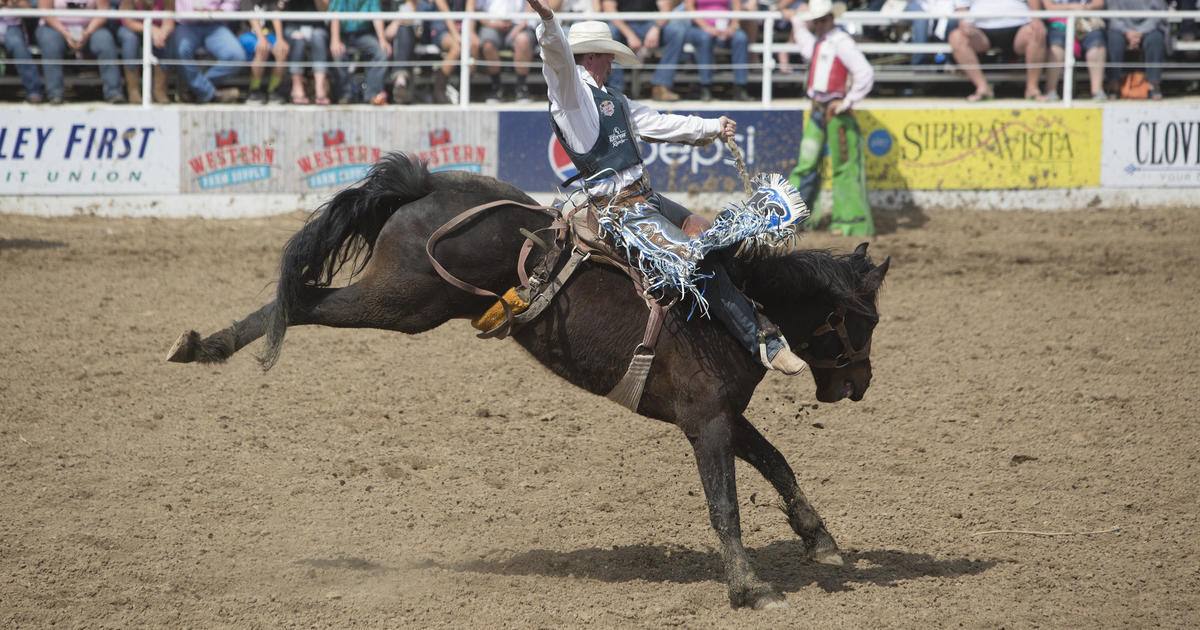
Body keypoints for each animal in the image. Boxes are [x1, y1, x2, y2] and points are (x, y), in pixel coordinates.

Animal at [164, 152, 888, 609]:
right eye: (869, 320)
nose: (861, 384)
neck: (733, 306)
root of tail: (426, 186)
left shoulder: (725, 415)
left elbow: (778, 462)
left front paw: (821, 541)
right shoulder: (706, 422)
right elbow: (725, 503)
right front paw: (749, 588)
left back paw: (199, 345)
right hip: (401, 303)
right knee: (306, 299)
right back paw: (204, 345)